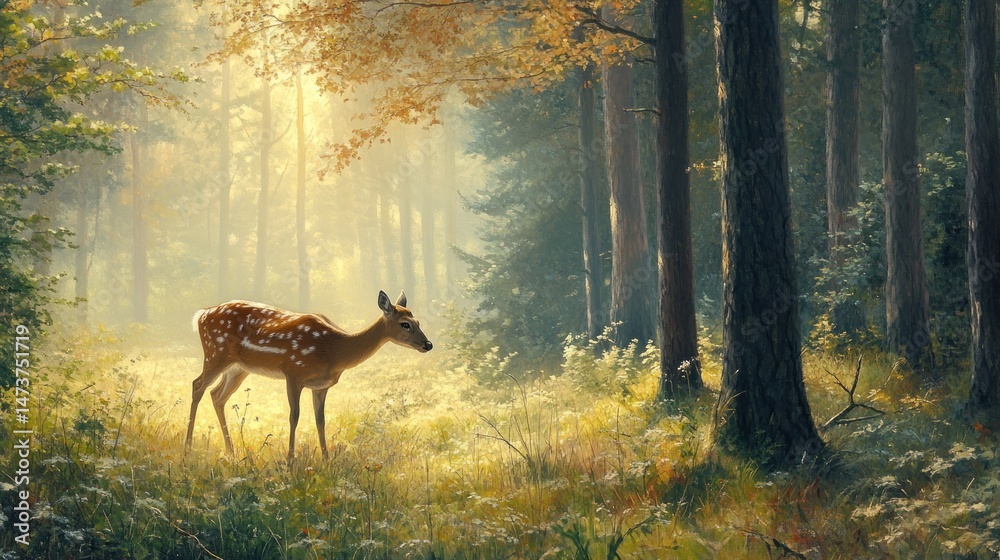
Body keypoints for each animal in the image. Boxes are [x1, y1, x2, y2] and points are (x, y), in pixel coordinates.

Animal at [185, 290, 432, 461]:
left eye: (418, 322)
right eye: (405, 324)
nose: (428, 344)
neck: (334, 350)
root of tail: (200, 315)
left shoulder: (321, 386)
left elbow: (320, 420)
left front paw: (326, 460)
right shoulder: (293, 372)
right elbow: (294, 416)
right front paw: (290, 461)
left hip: (238, 367)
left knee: (217, 395)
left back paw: (231, 452)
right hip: (215, 352)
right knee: (197, 385)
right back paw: (188, 447)